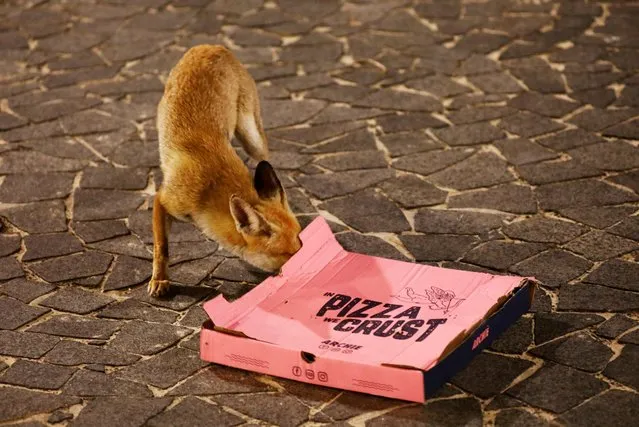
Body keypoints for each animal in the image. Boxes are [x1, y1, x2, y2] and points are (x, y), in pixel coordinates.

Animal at [149, 44, 302, 298]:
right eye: (289, 255)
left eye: (302, 243)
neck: (209, 189)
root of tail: (212, 46)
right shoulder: (163, 199)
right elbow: (162, 248)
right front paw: (160, 279)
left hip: (253, 140)